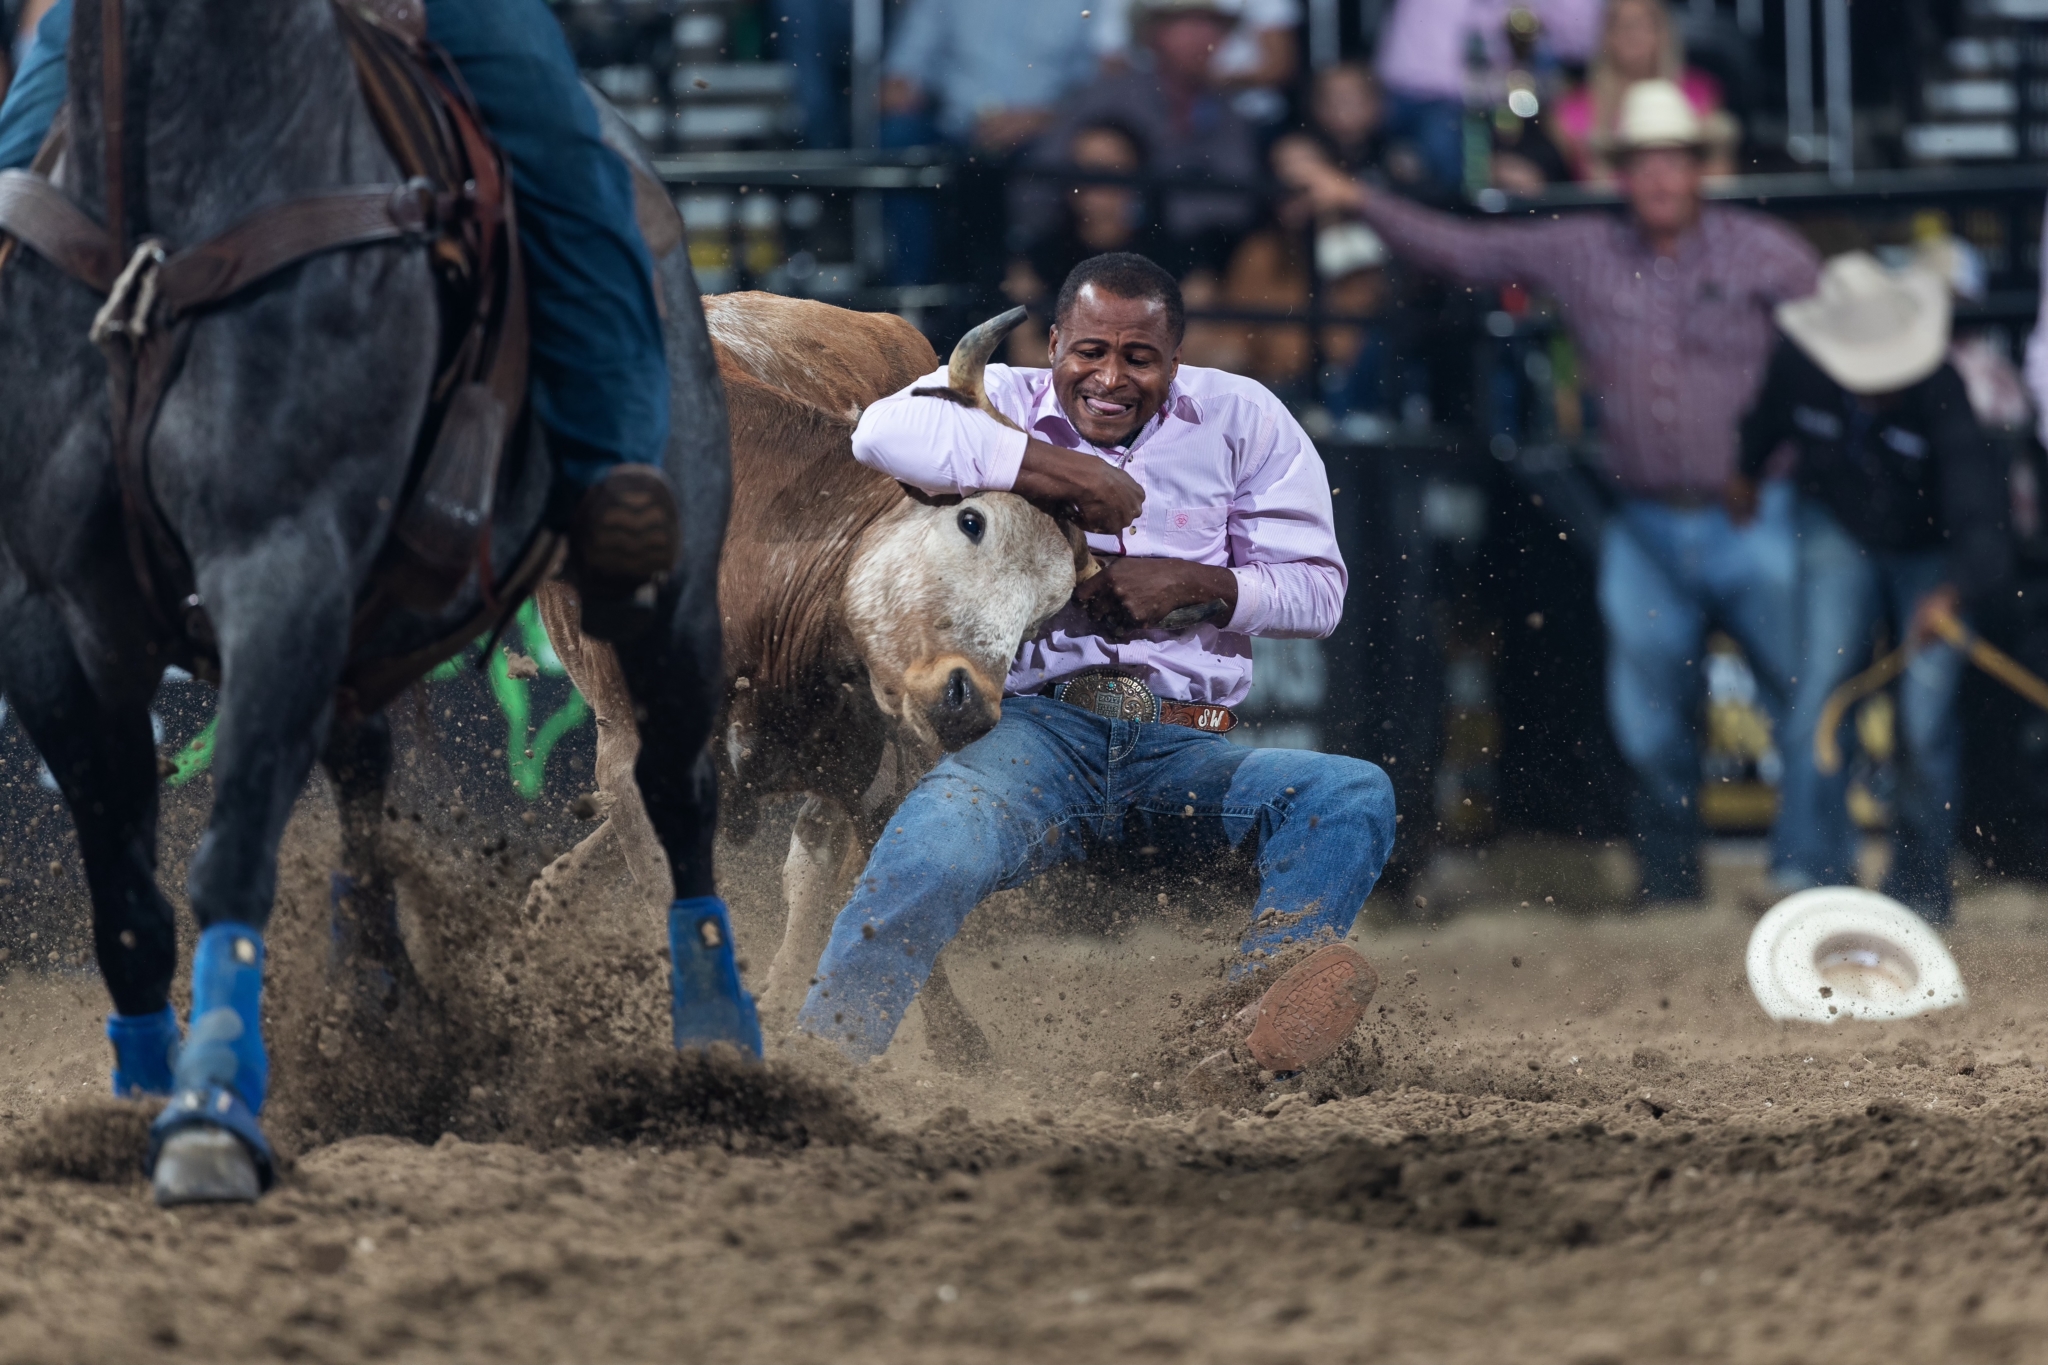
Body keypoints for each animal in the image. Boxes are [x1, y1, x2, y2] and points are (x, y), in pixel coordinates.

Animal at [0, 0, 741, 1195]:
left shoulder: (282, 562)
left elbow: (232, 848)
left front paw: (211, 1107)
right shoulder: (47, 615)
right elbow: (124, 898)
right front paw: (142, 1096)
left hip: (666, 596)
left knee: (675, 789)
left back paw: (723, 1047)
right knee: (363, 777)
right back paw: (379, 997)